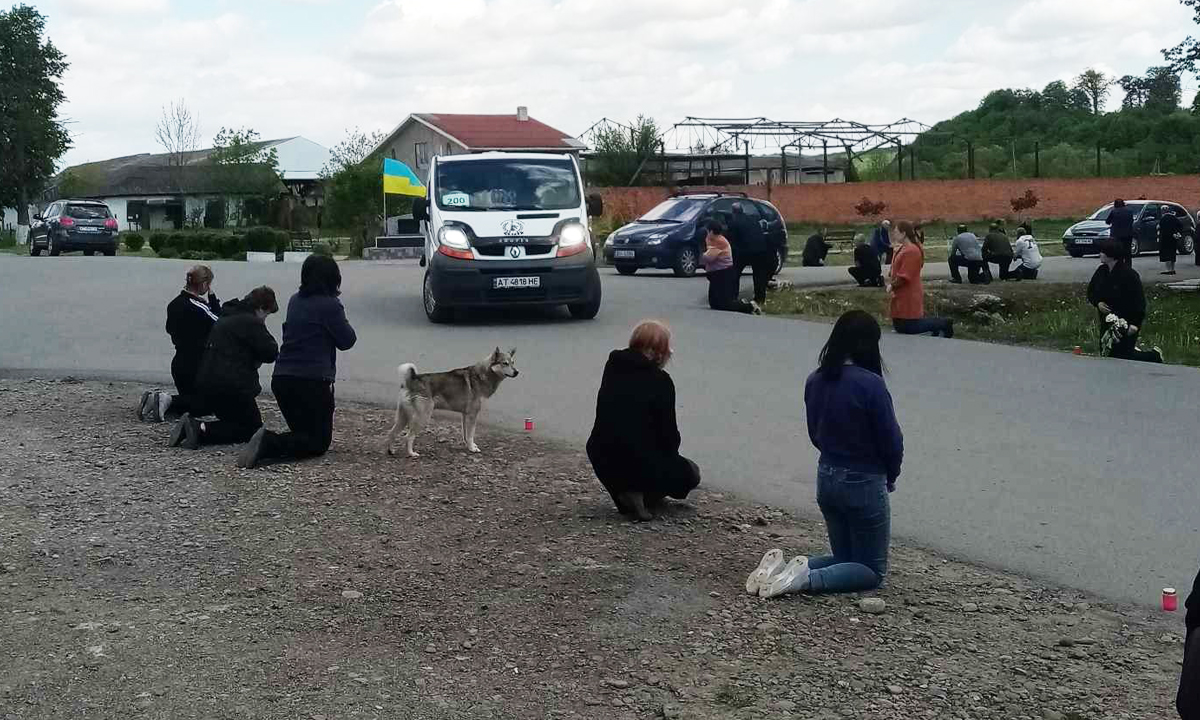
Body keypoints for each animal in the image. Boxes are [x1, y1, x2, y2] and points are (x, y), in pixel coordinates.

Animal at [384, 348, 516, 458]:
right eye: (505, 363)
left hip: (403, 417)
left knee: (391, 433)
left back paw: (391, 451)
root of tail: (412, 379)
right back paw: (411, 453)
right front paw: (472, 448)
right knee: (408, 437)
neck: (482, 375)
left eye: (513, 362)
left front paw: (469, 446)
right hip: (423, 417)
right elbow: (471, 434)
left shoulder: (465, 415)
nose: (517, 372)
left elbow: (466, 435)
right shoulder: (472, 415)